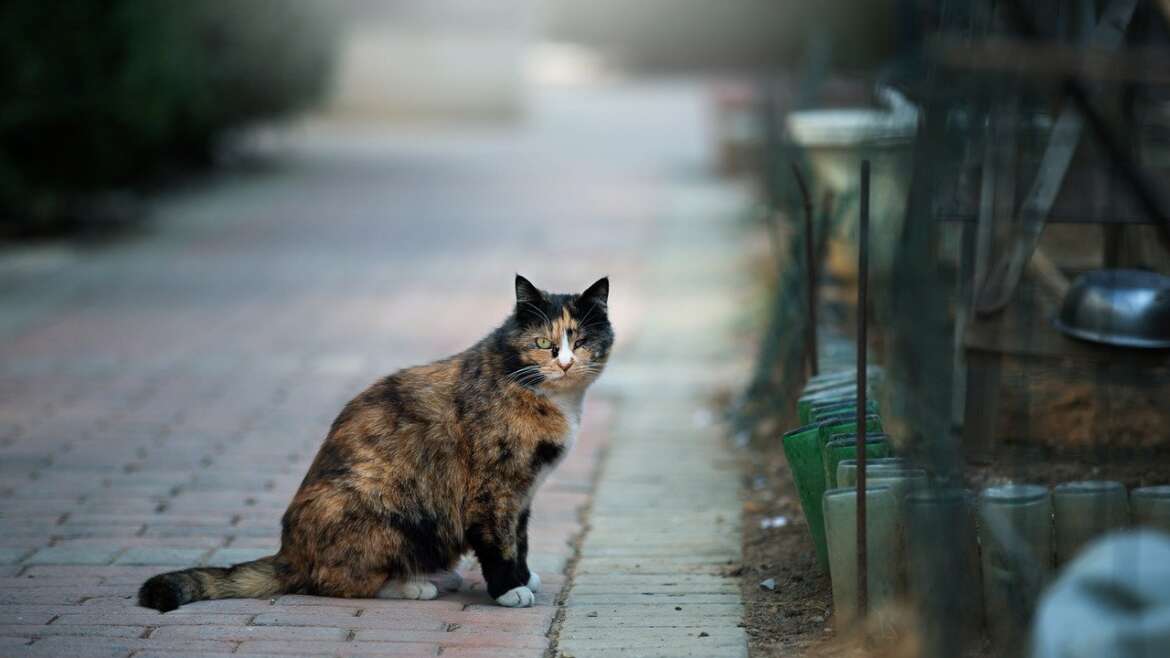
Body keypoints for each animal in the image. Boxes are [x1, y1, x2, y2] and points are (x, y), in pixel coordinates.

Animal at [136, 273, 613, 608]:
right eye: (544, 343)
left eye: (581, 341)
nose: (566, 363)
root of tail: (290, 553)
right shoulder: (493, 489)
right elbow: (499, 541)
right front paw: (508, 589)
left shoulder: (523, 493)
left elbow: (521, 538)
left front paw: (523, 575)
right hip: (390, 509)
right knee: (332, 582)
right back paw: (413, 586)